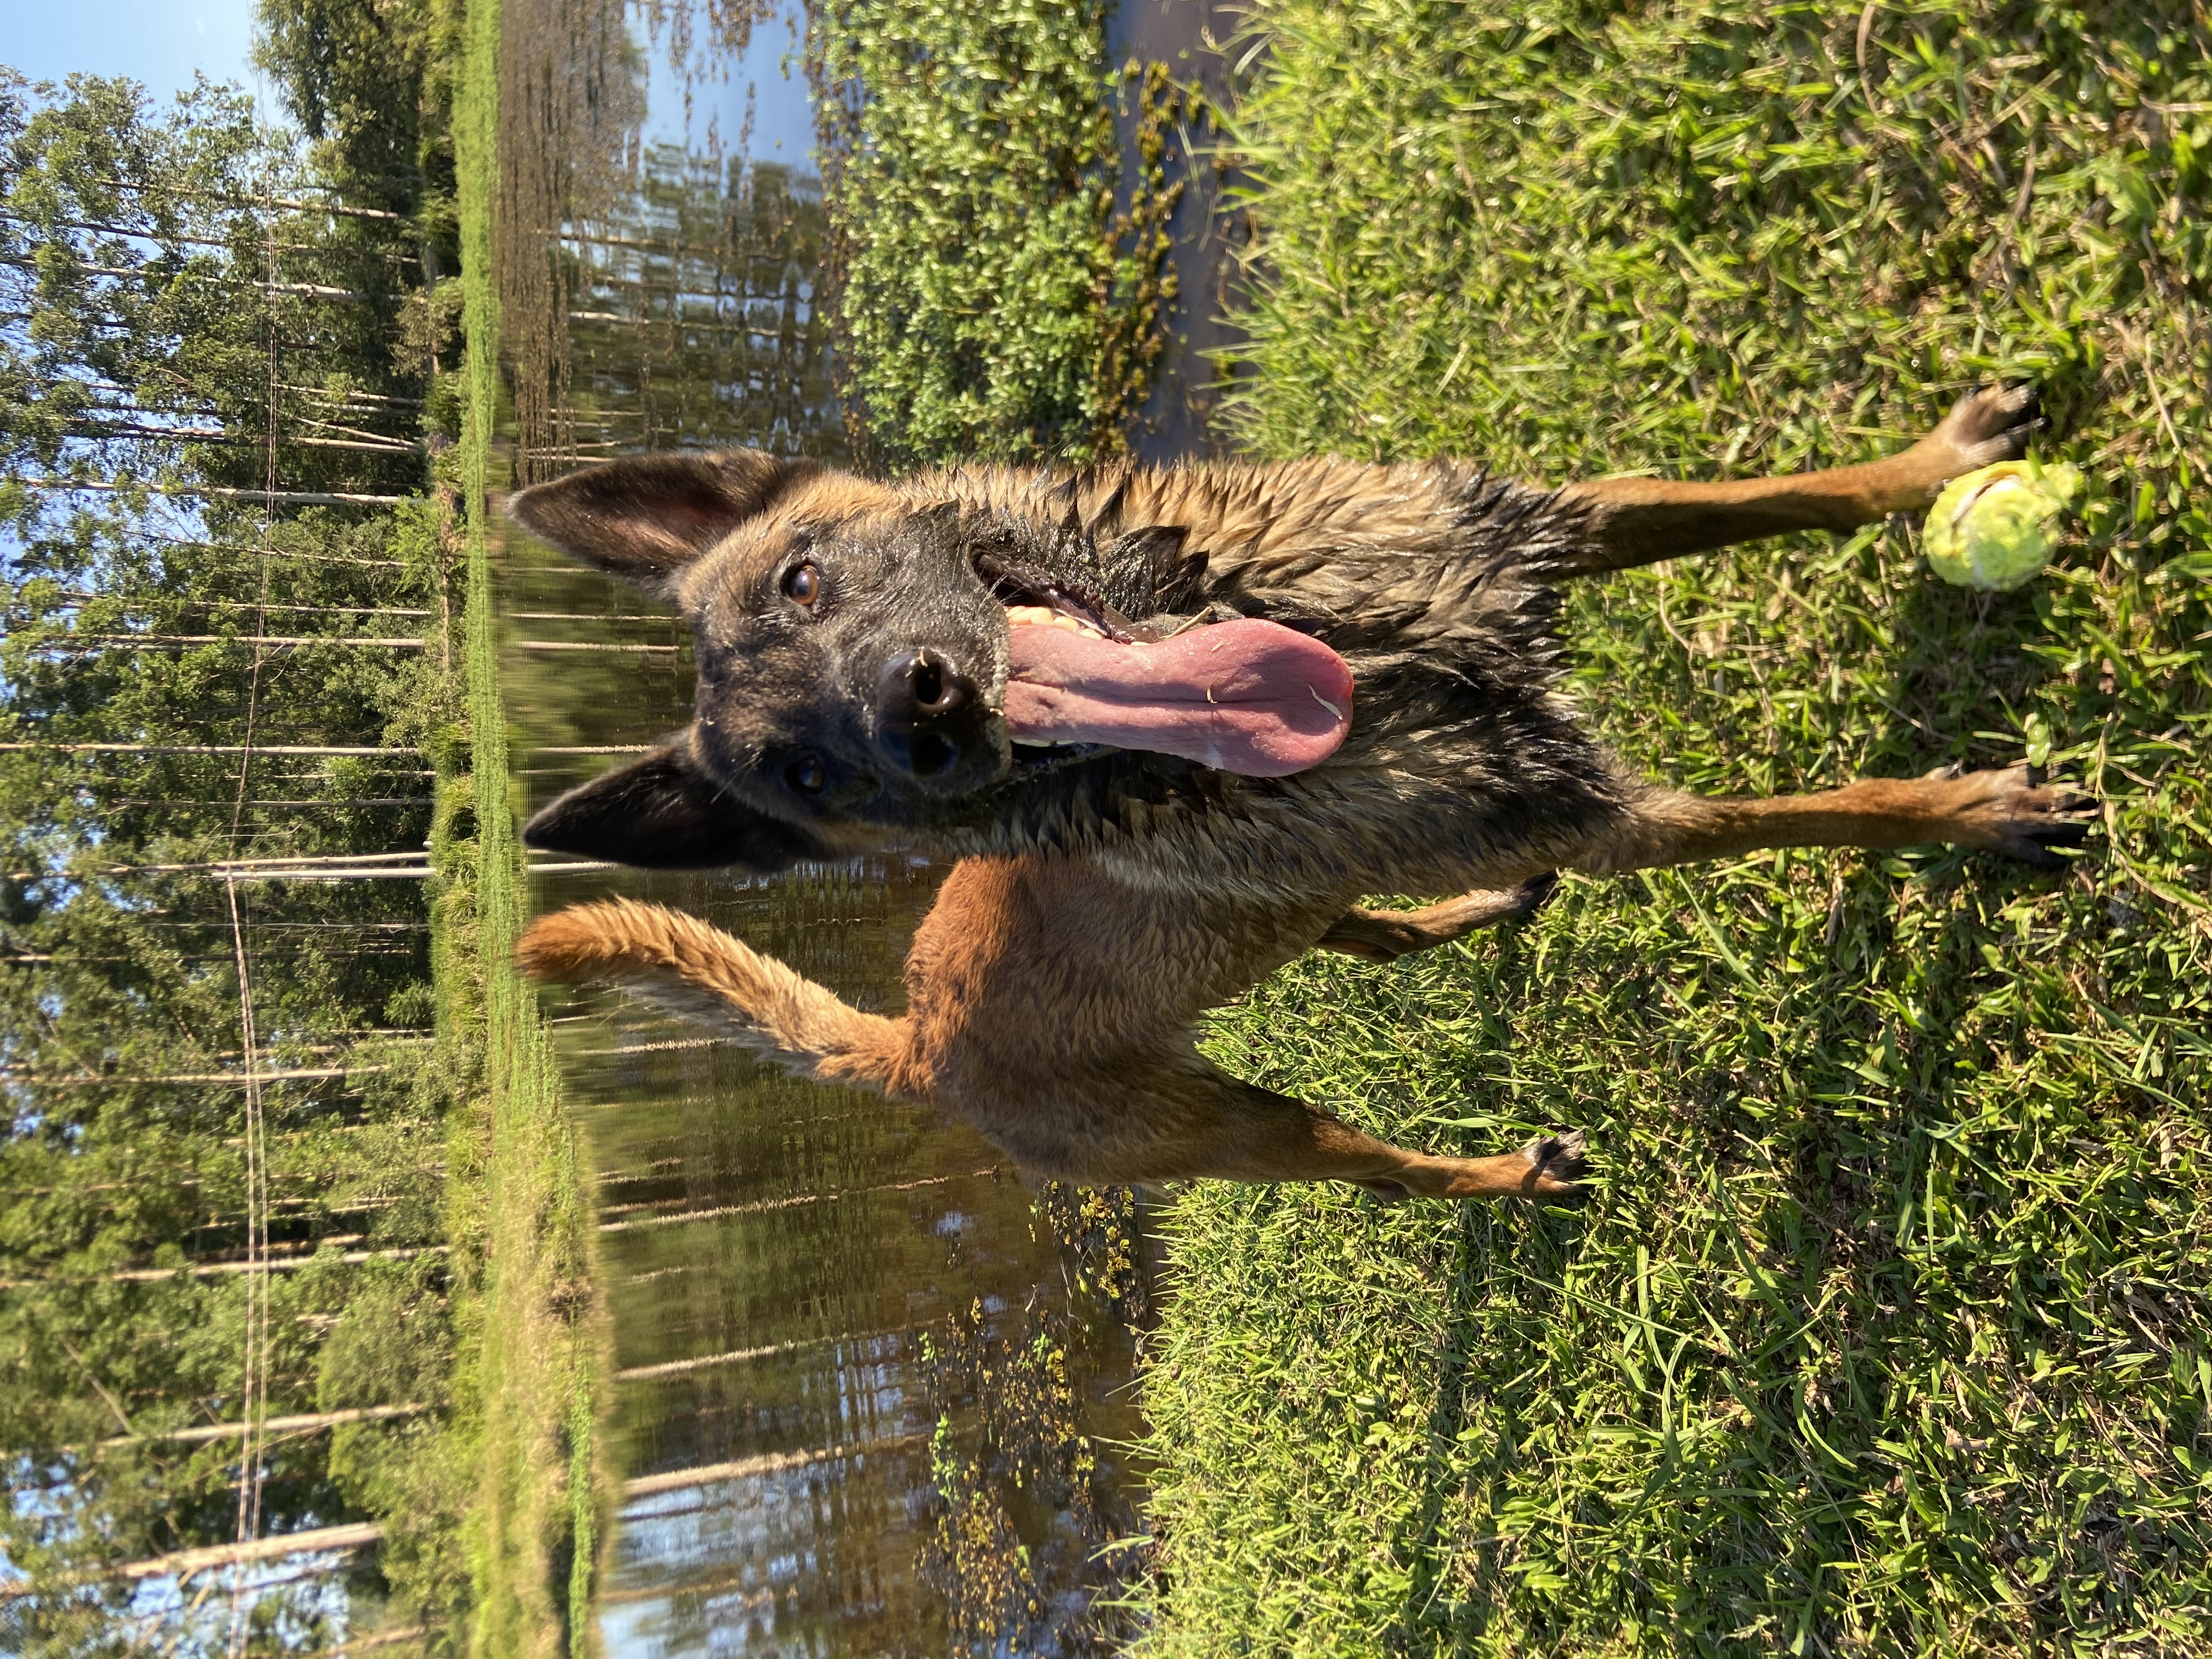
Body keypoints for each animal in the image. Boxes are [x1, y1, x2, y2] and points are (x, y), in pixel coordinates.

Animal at [511, 383, 2085, 1201]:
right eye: (809, 772)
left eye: (803, 578)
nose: (922, 713)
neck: (1354, 653)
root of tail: (914, 1043)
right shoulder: (1609, 819)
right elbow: (1821, 812)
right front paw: (1977, 814)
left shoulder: (1538, 532)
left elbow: (1777, 496)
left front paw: (1935, 464)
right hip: (1245, 1132)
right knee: (1371, 1161)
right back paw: (1507, 1177)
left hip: (1301, 916)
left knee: (1365, 929)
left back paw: (1468, 916)